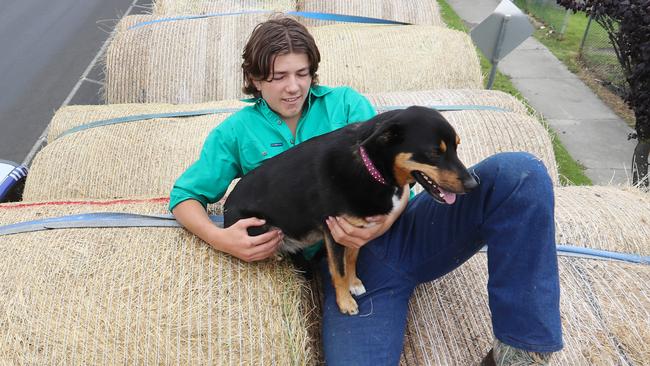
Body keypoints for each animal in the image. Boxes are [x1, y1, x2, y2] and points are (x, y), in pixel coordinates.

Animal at [223, 106, 476, 314]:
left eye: (457, 146)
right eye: (434, 152)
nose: (474, 184)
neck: (371, 167)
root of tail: (226, 208)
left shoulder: (357, 227)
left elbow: (352, 259)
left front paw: (354, 284)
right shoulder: (332, 230)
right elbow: (339, 270)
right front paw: (345, 302)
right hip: (257, 227)